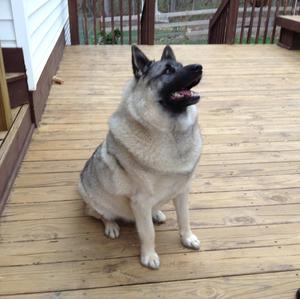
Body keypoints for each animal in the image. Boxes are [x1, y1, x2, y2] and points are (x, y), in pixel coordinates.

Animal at [78, 45, 203, 272]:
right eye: (168, 71)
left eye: (181, 65)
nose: (199, 67)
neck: (171, 133)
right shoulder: (141, 202)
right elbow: (148, 233)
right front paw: (149, 255)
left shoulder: (182, 192)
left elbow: (185, 218)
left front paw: (187, 238)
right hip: (95, 201)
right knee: (100, 215)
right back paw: (111, 226)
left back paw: (157, 213)